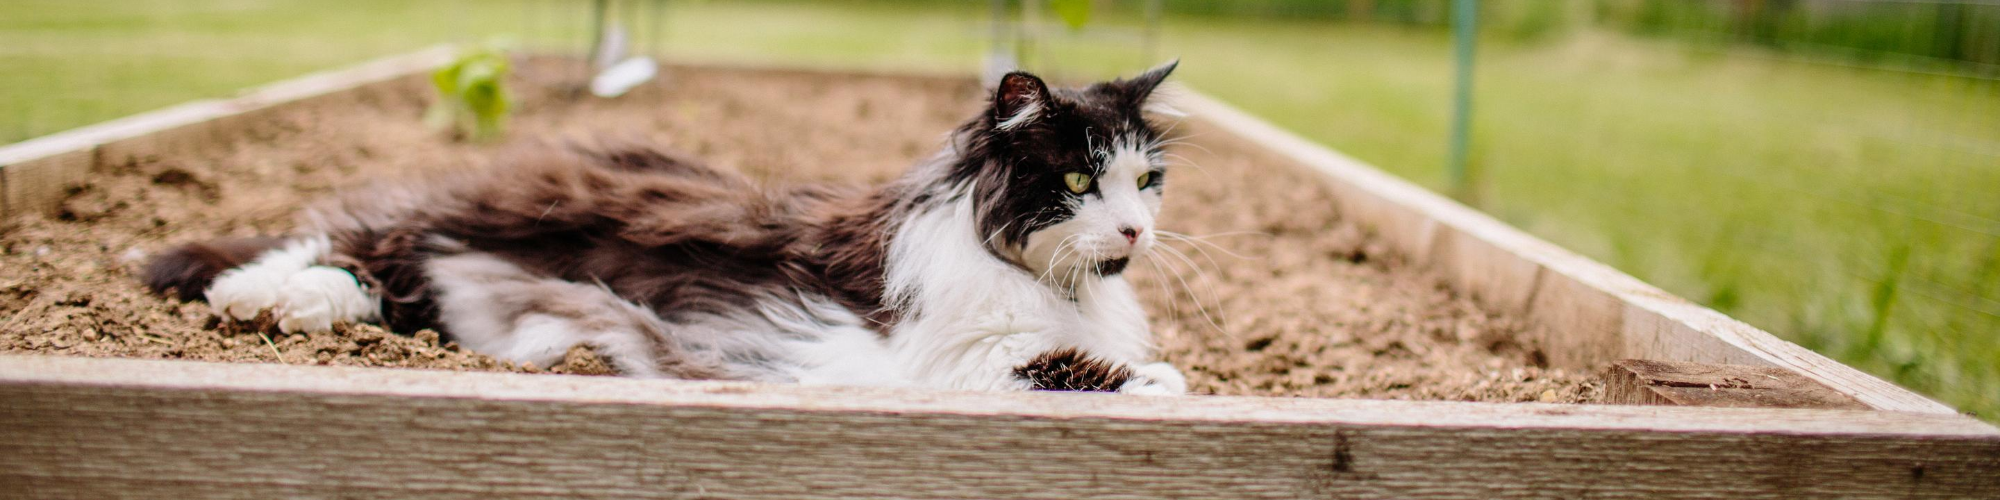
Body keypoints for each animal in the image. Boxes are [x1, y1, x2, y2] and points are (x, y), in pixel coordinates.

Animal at [156, 61, 1192, 394]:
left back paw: (278, 306)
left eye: (1146, 183)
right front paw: (1155, 385)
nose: (1136, 235)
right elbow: (1080, 370)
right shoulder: (956, 359)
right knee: (344, 238)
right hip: (475, 220)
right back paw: (246, 295)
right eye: (1076, 180)